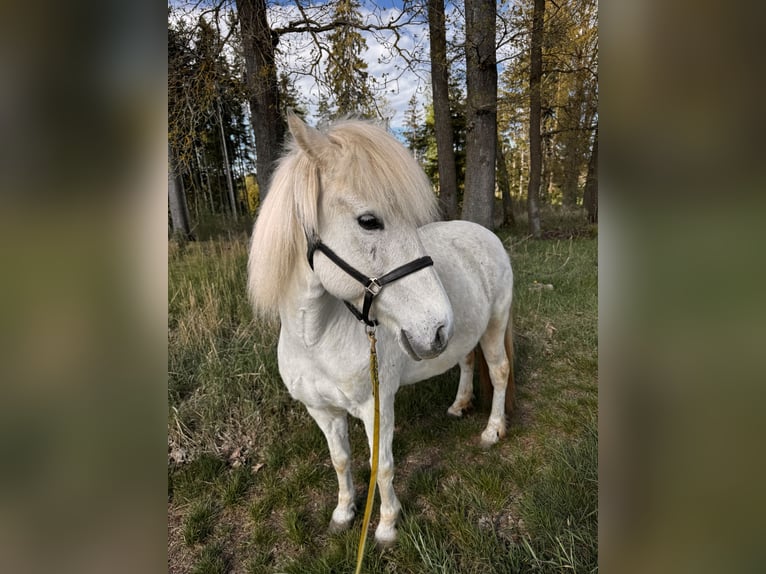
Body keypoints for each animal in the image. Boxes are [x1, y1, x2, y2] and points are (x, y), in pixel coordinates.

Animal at [248, 114, 515, 546]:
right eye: (369, 221)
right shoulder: (321, 411)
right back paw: (459, 404)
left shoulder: (377, 406)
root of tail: (485, 233)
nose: (438, 325)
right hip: (465, 336)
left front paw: (387, 524)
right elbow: (340, 460)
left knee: (500, 371)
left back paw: (493, 430)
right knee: (466, 362)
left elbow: (382, 464)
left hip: (494, 325)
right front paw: (343, 512)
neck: (315, 340)